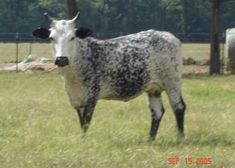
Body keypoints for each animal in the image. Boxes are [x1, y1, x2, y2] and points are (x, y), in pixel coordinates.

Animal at [32, 12, 185, 140]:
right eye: (52, 38)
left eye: (72, 37)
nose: (61, 59)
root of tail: (169, 36)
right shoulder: (76, 100)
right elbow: (81, 122)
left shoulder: (91, 97)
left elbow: (86, 123)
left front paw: (84, 140)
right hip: (153, 88)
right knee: (157, 112)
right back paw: (150, 139)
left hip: (173, 82)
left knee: (178, 107)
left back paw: (180, 138)